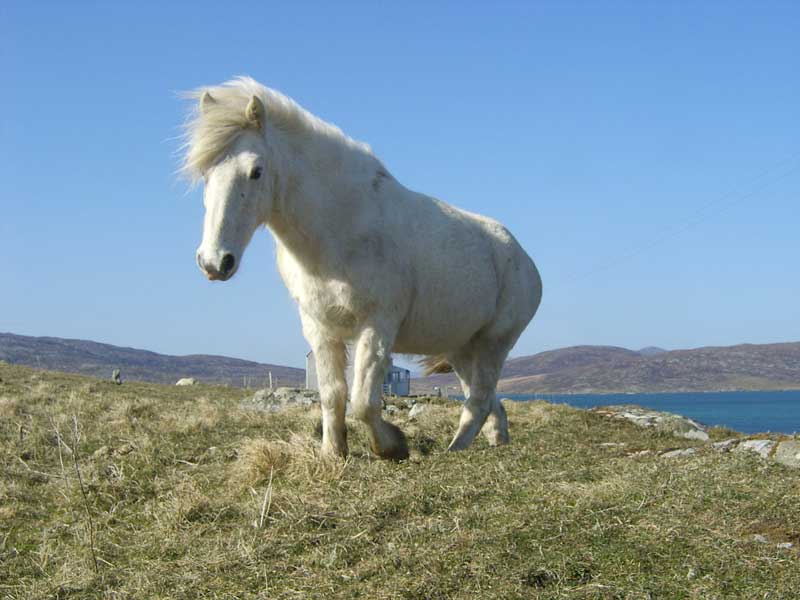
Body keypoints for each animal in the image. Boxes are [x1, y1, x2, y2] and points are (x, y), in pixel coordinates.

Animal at [184, 76, 540, 460]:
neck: (341, 226)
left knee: (478, 400)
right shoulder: (319, 326)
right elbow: (332, 395)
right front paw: (332, 452)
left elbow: (363, 402)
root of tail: (523, 258)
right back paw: (496, 440)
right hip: (461, 348)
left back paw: (456, 448)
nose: (215, 262)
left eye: (256, 172)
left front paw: (393, 445)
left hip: (494, 342)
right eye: (206, 173)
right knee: (487, 399)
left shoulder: (377, 326)